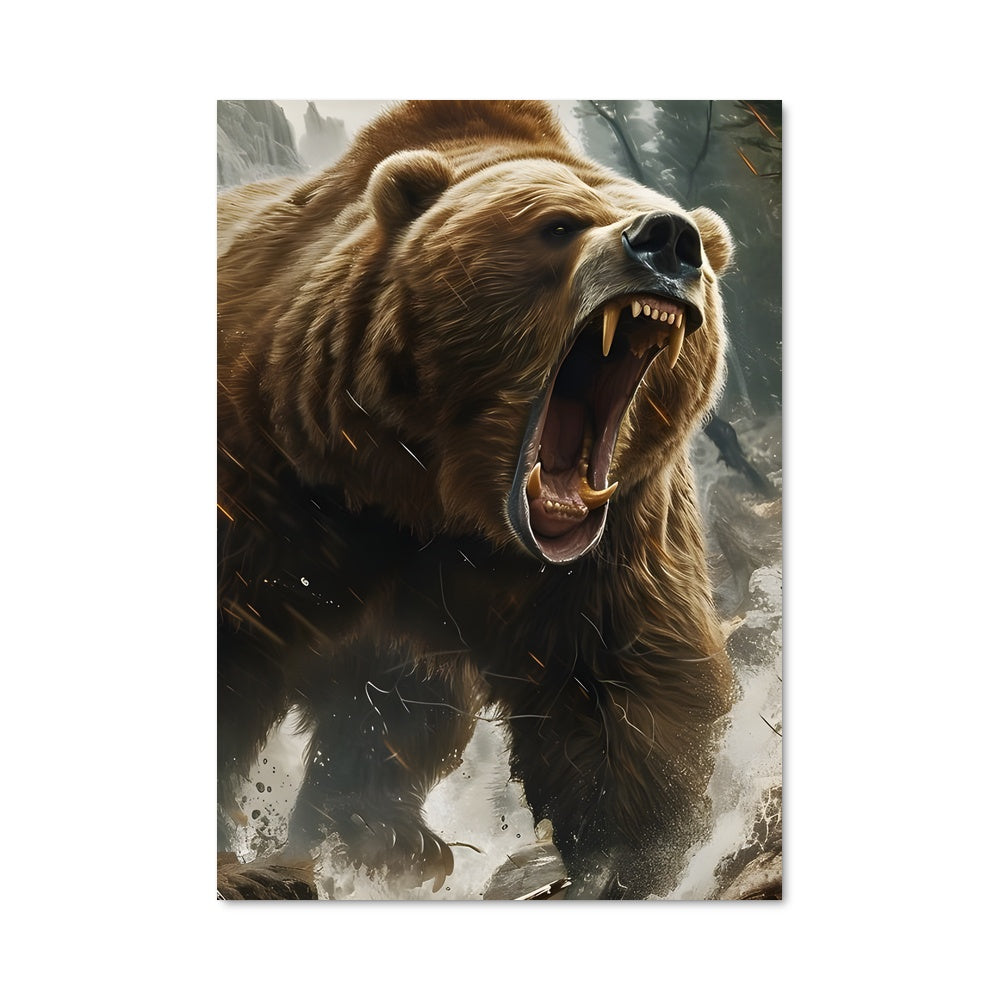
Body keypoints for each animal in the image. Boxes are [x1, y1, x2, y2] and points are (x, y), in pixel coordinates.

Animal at [217, 100, 735, 899]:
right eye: (557, 223)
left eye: (699, 250)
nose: (670, 240)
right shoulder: (272, 473)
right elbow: (231, 654)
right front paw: (242, 873)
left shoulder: (610, 545)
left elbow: (626, 687)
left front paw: (619, 864)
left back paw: (388, 841)